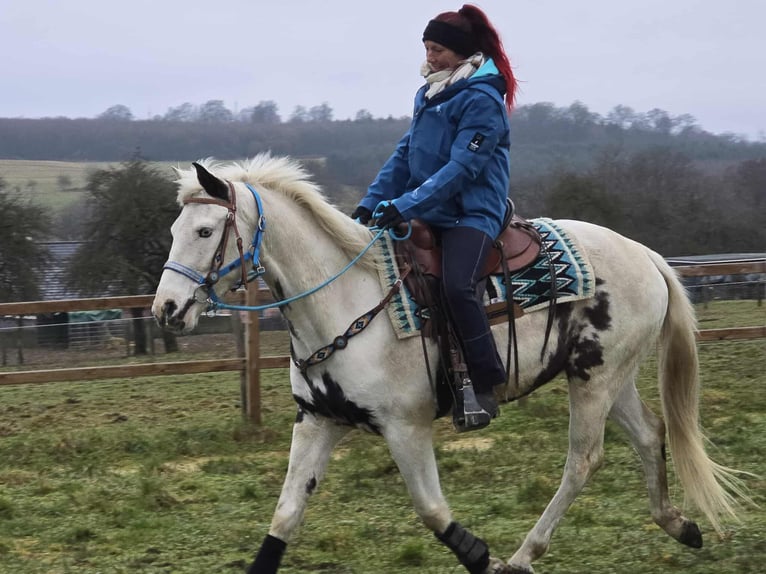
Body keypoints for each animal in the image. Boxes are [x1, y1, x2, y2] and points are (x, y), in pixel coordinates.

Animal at [152, 154, 747, 574]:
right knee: (649, 435)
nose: (167, 309)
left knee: (583, 460)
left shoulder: (406, 428)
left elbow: (433, 510)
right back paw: (679, 526)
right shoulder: (319, 421)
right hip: (605, 374)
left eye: (205, 231)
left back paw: (525, 556)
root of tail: (645, 255)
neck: (344, 300)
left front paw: (485, 558)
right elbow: (284, 515)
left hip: (595, 381)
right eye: (175, 231)